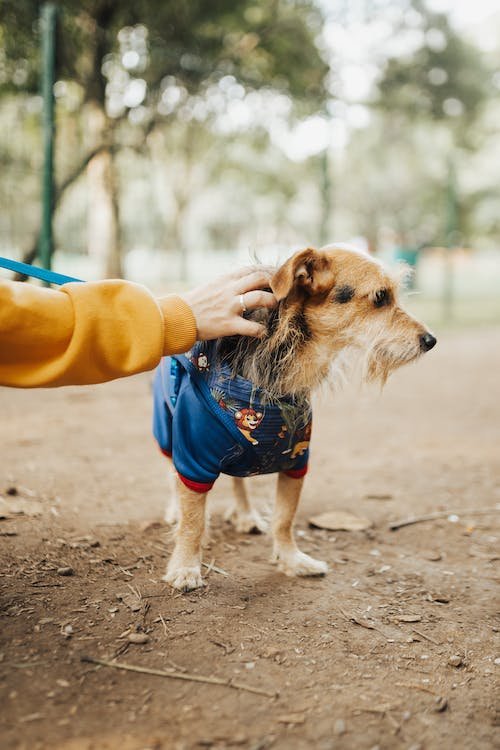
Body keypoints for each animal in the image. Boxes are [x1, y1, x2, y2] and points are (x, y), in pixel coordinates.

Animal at [158, 244, 436, 592]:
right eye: (380, 297)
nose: (431, 340)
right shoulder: (193, 458)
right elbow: (193, 520)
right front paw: (185, 567)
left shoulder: (296, 459)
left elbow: (284, 518)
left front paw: (291, 560)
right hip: (166, 429)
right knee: (171, 474)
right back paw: (174, 511)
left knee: (238, 480)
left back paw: (246, 514)